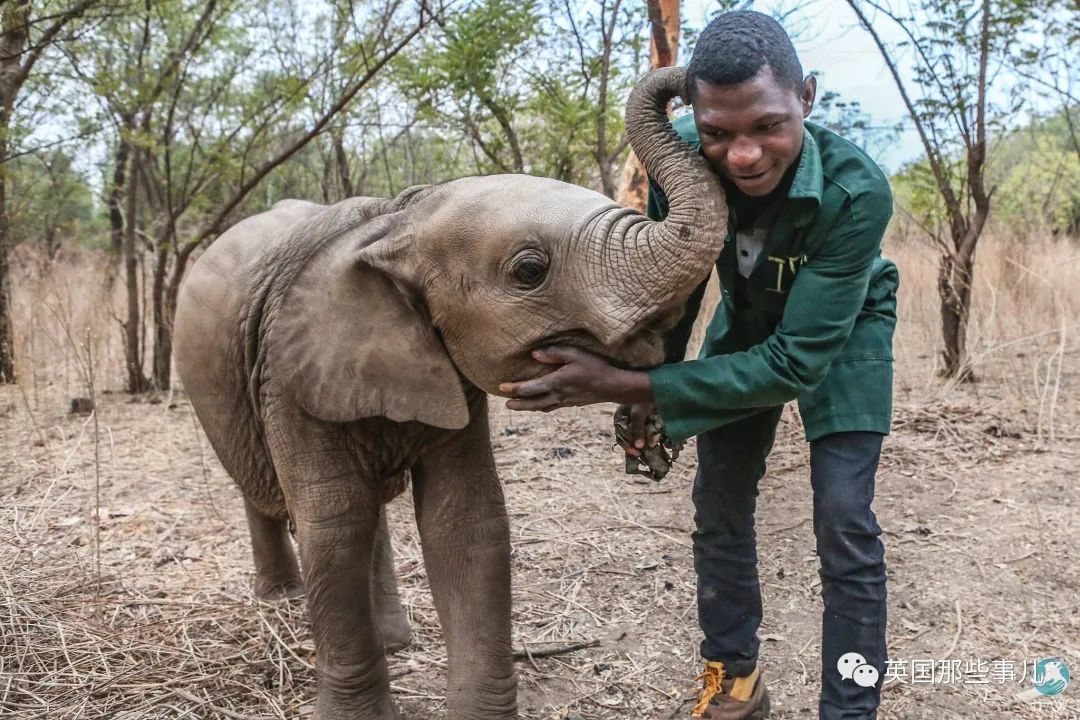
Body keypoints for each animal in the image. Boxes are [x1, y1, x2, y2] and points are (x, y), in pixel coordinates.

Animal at [174, 67, 725, 720]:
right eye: (530, 270)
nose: (687, 78)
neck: (397, 219)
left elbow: (466, 520)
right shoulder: (286, 374)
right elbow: (333, 527)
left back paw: (392, 638)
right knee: (285, 497)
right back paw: (282, 603)